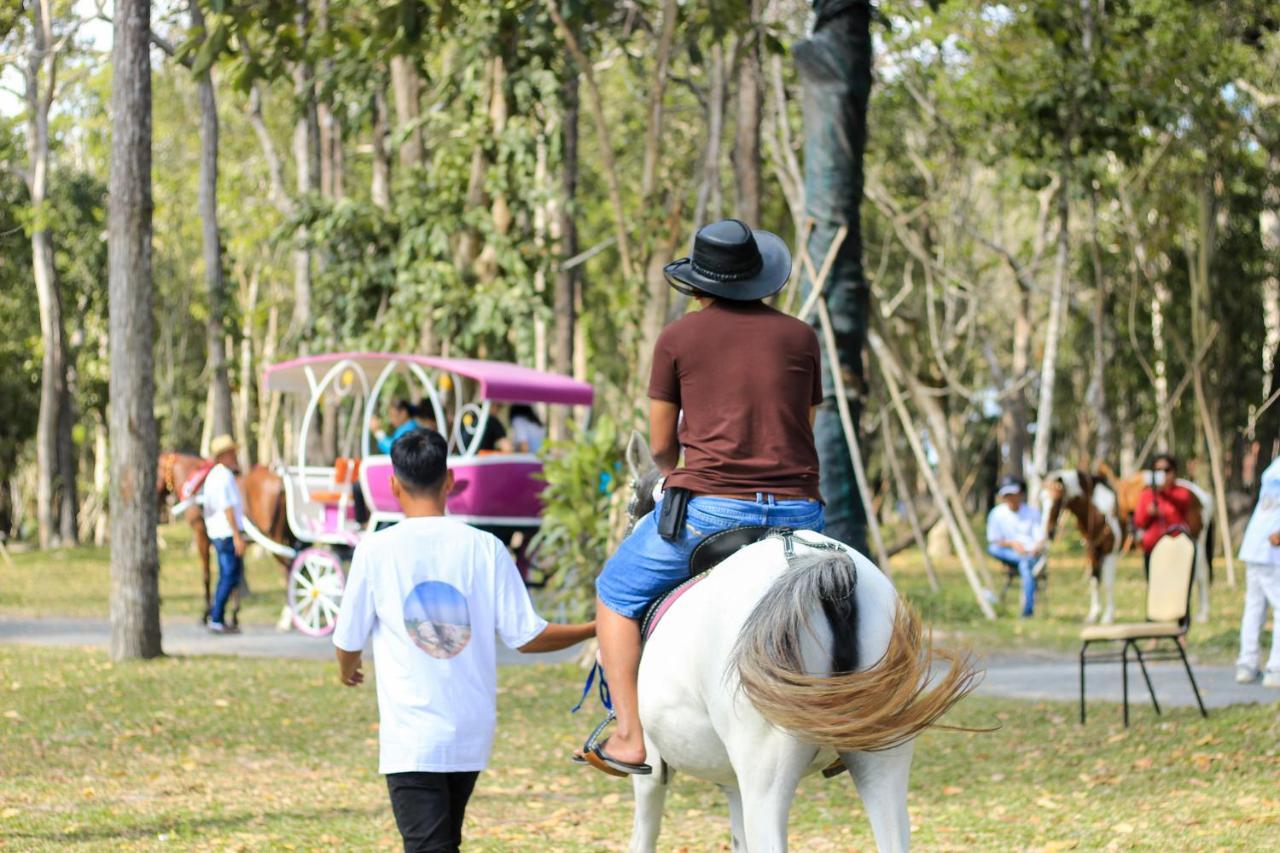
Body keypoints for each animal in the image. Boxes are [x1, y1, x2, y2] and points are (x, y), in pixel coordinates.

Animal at [158, 450, 291, 625]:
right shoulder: (229, 544)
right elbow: (233, 577)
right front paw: (233, 613)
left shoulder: (202, 536)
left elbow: (207, 575)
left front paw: (207, 613)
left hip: (274, 537)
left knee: (289, 568)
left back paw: (287, 617)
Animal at [616, 438, 967, 850]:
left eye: (630, 500)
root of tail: (820, 563)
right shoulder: (730, 782)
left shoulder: (652, 770)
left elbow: (644, 835)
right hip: (884, 754)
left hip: (765, 771)